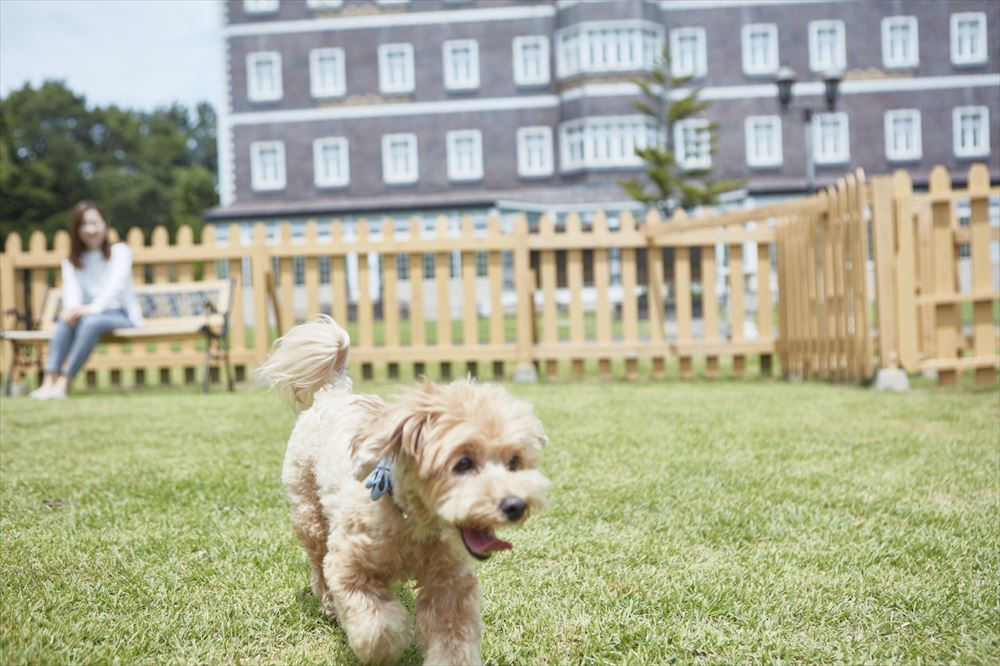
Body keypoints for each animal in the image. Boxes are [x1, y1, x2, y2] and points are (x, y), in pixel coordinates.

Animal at [258, 314, 552, 660]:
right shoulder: (348, 563)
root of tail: (333, 389)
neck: (411, 521)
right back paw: (328, 604)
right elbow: (378, 626)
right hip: (309, 513)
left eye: (514, 462)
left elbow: (453, 640)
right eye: (463, 463)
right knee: (318, 560)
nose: (515, 505)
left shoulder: (449, 582)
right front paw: (389, 643)